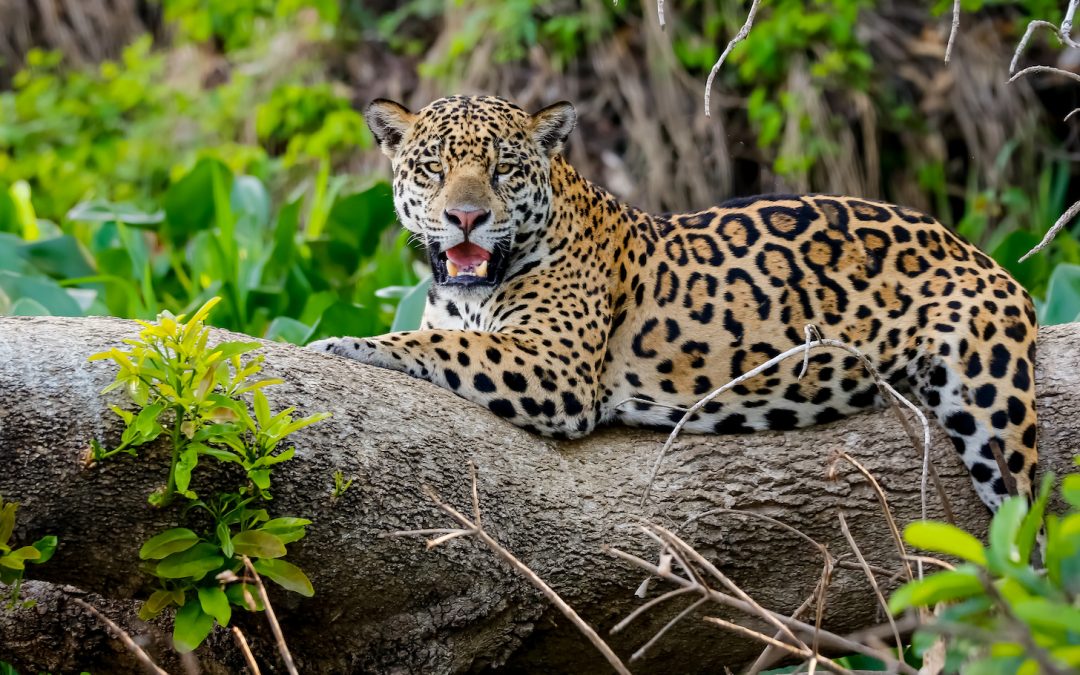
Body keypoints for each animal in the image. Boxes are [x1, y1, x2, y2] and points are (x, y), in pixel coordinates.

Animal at [308, 94, 1038, 512]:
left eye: (503, 170)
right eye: (432, 167)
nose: (465, 217)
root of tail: (975, 248)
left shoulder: (557, 368)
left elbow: (438, 343)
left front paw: (341, 344)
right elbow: (440, 334)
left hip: (991, 404)